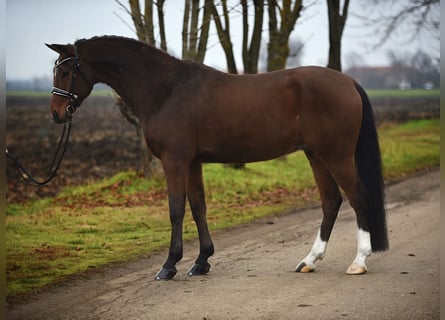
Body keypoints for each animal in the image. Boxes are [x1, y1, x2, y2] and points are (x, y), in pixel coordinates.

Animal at [46, 35, 386, 280]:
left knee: (358, 197)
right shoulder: (193, 162)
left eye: (65, 71)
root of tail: (347, 82)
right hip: (315, 154)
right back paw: (309, 260)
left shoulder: (175, 161)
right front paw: (201, 261)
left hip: (336, 154)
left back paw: (358, 262)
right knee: (331, 201)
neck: (166, 90)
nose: (56, 114)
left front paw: (169, 265)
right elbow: (198, 207)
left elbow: (175, 209)